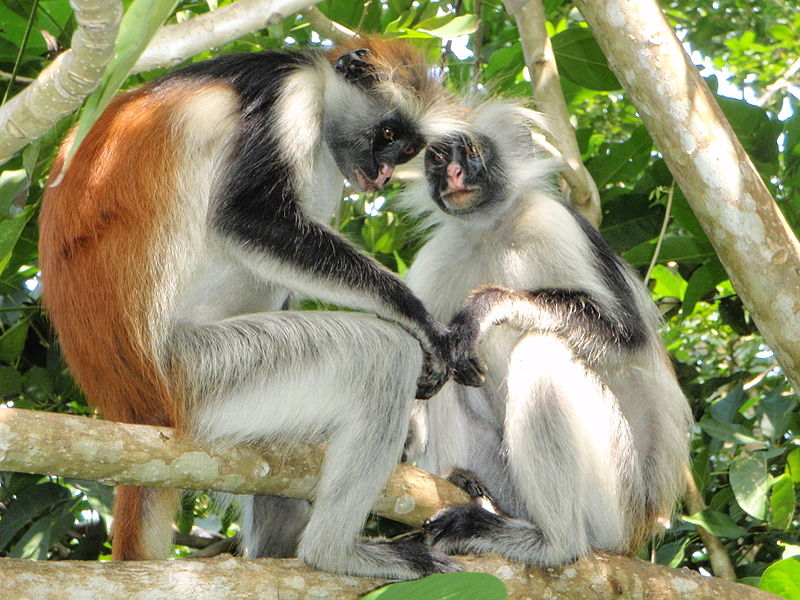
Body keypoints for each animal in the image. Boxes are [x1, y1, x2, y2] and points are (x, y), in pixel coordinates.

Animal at [39, 39, 468, 580]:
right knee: (382, 356)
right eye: (387, 135)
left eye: (407, 150)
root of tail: (131, 405)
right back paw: (332, 553)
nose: (385, 173)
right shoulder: (288, 94)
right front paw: (419, 321)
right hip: (204, 371)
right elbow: (248, 215)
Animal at [404, 103, 692, 568]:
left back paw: (553, 542)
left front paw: (490, 305)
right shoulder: (436, 258)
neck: (491, 229)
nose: (453, 175)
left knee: (541, 350)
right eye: (437, 158)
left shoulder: (553, 221)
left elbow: (626, 336)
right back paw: (467, 485)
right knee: (449, 369)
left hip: (615, 498)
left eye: (472, 151)